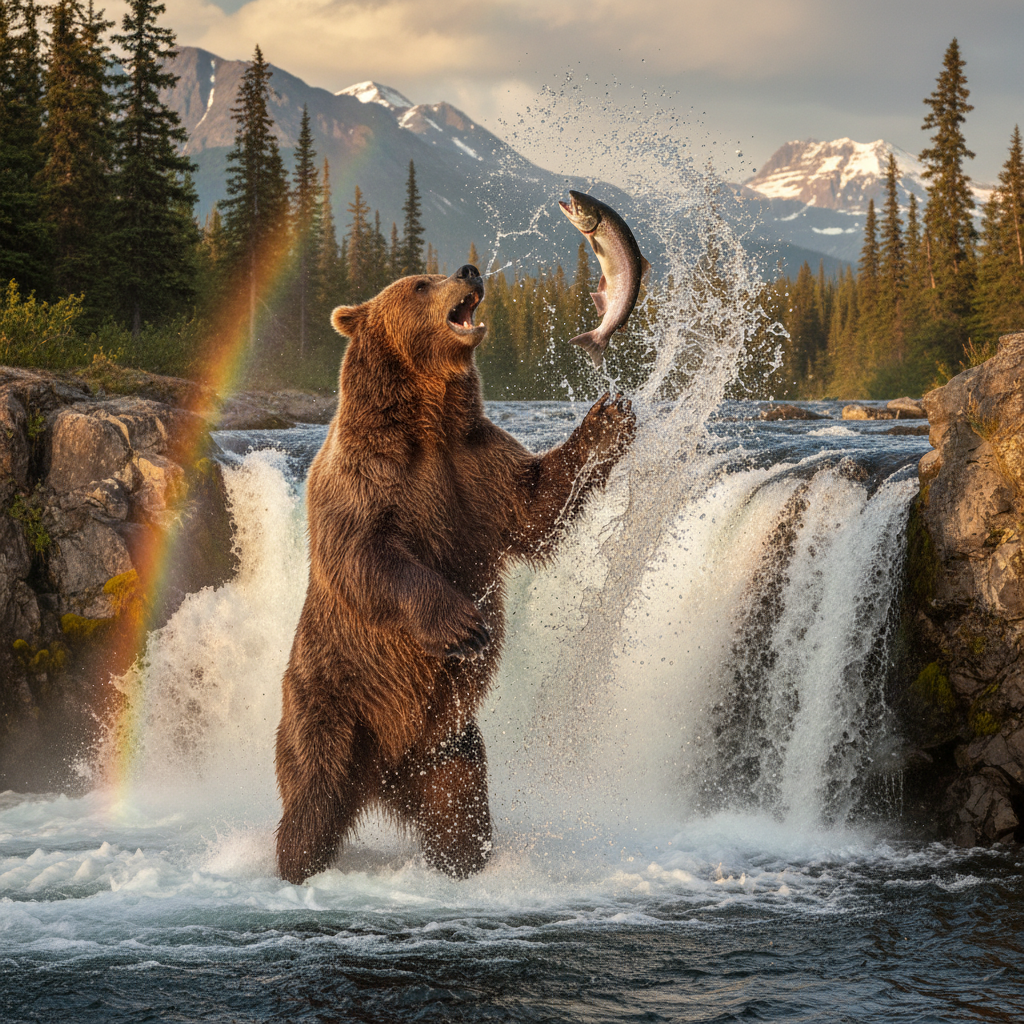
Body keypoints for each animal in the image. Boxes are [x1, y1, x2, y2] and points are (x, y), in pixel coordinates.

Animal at [275, 263, 635, 883]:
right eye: (419, 283)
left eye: (439, 272)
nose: (469, 270)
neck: (426, 423)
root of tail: (382, 775)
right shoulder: (365, 478)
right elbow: (369, 557)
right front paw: (463, 624)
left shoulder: (476, 463)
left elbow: (536, 504)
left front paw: (607, 419)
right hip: (330, 702)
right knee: (312, 796)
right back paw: (295, 866)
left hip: (448, 744)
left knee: (458, 808)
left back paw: (464, 862)